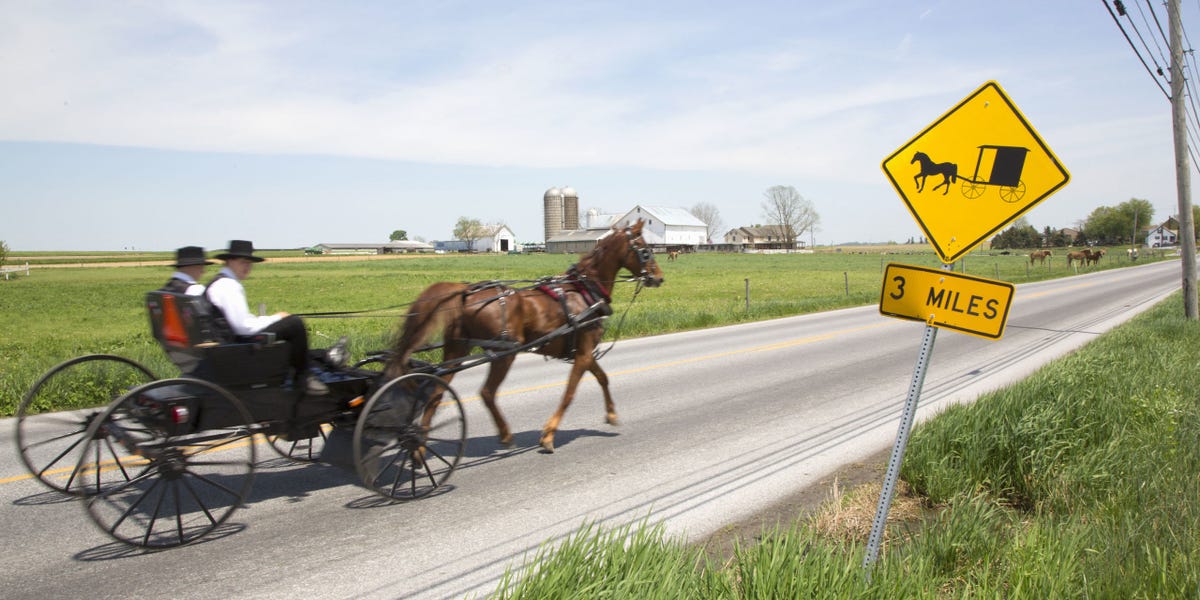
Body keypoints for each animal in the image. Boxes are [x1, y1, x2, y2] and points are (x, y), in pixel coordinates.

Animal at [386, 219, 662, 451]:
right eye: (645, 250)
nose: (659, 277)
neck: (586, 290)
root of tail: (465, 292)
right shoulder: (583, 353)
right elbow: (570, 393)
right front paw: (549, 435)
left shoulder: (583, 353)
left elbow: (603, 378)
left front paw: (612, 414)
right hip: (503, 353)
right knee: (486, 393)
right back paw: (504, 435)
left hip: (457, 350)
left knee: (436, 394)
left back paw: (419, 448)